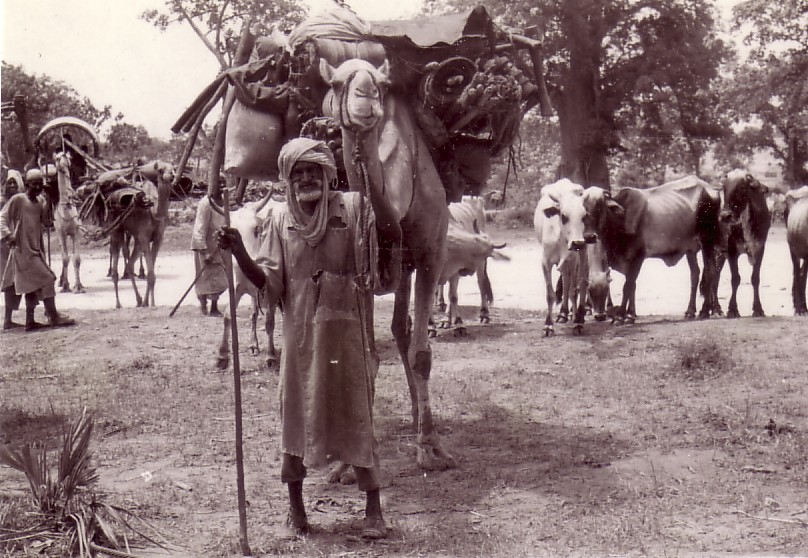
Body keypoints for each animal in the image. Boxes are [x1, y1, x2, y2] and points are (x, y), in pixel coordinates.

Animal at [320, 58, 455, 471]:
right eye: (335, 83)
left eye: (381, 82)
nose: (365, 98)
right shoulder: (358, 271)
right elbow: (364, 360)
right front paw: (349, 463)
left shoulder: (431, 257)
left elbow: (422, 355)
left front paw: (430, 448)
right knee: (397, 328)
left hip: (409, 266)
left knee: (404, 329)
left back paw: (418, 419)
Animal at [434, 196, 507, 336]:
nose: (467, 270)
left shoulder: (455, 270)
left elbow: (453, 296)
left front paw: (456, 323)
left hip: (480, 267)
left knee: (481, 284)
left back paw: (484, 314)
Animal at [534, 178, 594, 336]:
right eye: (564, 216)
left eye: (584, 216)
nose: (578, 242)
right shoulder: (546, 262)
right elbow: (550, 294)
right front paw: (548, 325)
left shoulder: (573, 260)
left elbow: (574, 290)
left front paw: (577, 323)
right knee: (566, 281)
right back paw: (563, 314)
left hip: (581, 255)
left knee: (580, 283)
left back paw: (578, 316)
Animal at [581, 176, 722, 324]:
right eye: (583, 207)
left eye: (600, 206)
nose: (589, 237)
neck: (621, 218)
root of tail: (710, 188)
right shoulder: (627, 260)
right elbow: (632, 286)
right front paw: (630, 315)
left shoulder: (638, 256)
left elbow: (628, 286)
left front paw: (621, 317)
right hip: (690, 248)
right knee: (695, 274)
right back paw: (690, 311)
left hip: (707, 240)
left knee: (710, 270)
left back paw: (705, 311)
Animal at [716, 170, 772, 318]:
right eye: (724, 188)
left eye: (742, 189)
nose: (725, 216)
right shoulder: (731, 251)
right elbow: (735, 278)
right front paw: (732, 310)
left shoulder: (759, 248)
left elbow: (755, 278)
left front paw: (758, 309)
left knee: (714, 276)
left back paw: (716, 308)